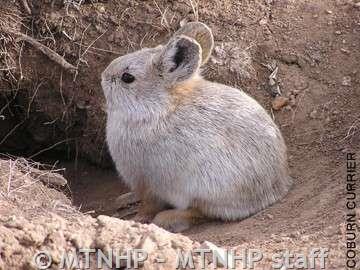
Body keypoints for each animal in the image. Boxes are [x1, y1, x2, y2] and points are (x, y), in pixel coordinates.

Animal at [101, 22, 292, 232]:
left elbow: (148, 206)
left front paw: (135, 219)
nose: (103, 75)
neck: (157, 108)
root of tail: (276, 190)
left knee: (200, 212)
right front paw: (124, 200)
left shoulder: (146, 181)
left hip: (206, 190)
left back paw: (167, 219)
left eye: (127, 77)